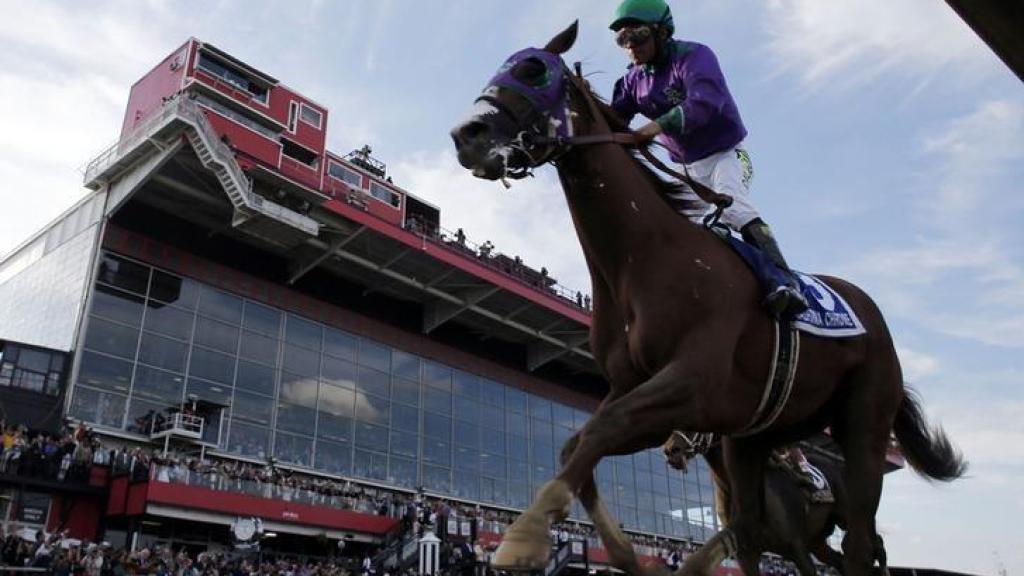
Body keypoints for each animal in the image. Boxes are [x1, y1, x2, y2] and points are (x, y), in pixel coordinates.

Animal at [663, 430, 888, 573]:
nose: (670, 449)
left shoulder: (796, 546)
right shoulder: (747, 555)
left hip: (849, 518)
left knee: (875, 545)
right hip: (817, 541)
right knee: (842, 561)